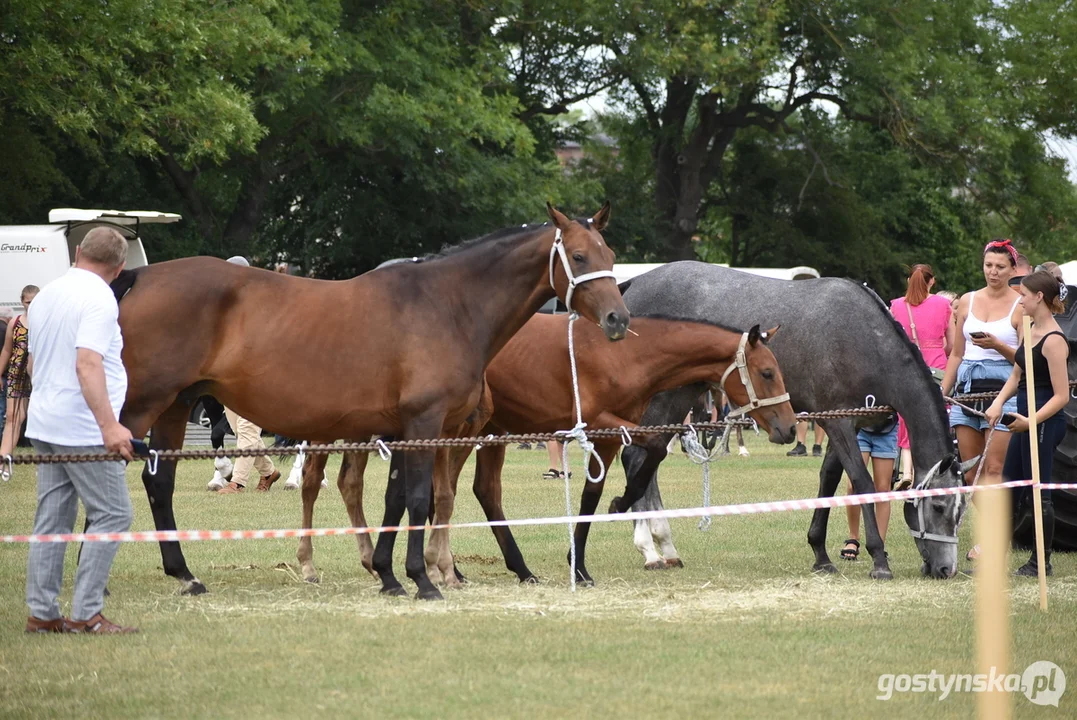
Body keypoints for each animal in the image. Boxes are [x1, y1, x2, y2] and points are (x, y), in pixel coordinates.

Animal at [109, 201, 628, 594]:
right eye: (578, 256)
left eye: (610, 252)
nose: (618, 319)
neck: (446, 304)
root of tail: (141, 278)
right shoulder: (424, 423)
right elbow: (418, 499)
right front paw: (424, 580)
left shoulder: (403, 429)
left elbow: (396, 499)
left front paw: (389, 575)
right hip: (139, 408)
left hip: (175, 406)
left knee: (159, 484)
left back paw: (185, 575)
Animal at [607, 261, 977, 581]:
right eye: (939, 507)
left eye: (961, 512)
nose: (946, 569)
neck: (863, 339)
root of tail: (632, 285)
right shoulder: (839, 423)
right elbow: (862, 482)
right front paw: (878, 559)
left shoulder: (846, 424)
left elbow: (829, 479)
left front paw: (821, 554)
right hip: (664, 396)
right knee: (636, 456)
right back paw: (649, 549)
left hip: (682, 394)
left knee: (649, 458)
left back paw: (665, 546)